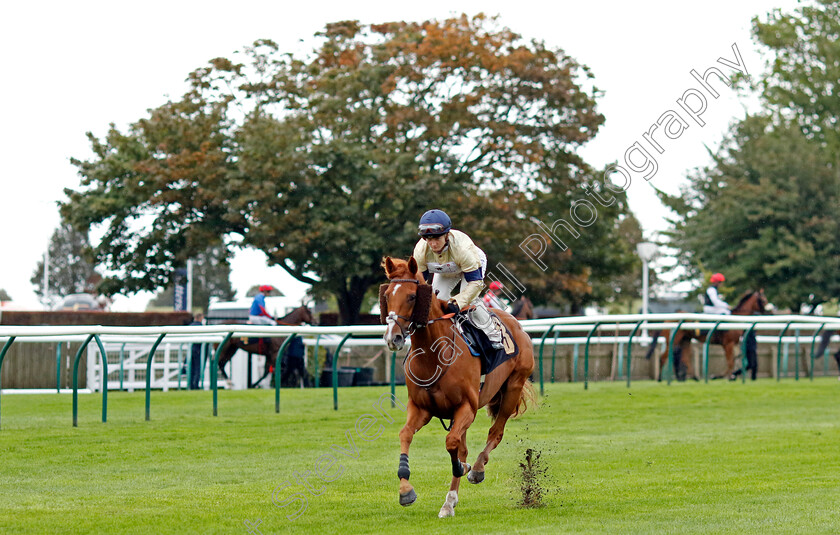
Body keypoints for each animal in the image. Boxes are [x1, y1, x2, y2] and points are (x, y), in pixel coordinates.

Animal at [378, 260, 532, 520]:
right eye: (387, 295)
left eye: (412, 296)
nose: (393, 338)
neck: (433, 355)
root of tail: (517, 324)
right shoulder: (421, 408)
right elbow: (406, 434)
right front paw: (406, 490)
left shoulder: (467, 407)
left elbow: (452, 444)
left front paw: (465, 468)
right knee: (465, 446)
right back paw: (450, 500)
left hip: (513, 386)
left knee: (495, 432)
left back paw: (476, 469)